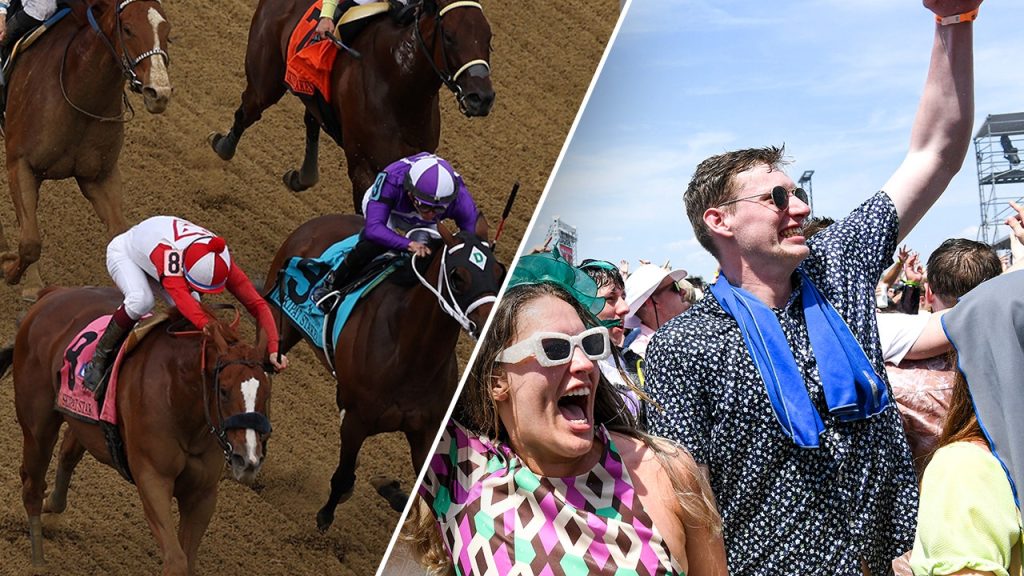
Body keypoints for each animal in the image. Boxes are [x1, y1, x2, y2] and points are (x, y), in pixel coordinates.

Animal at [0, 0, 172, 295]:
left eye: (167, 31)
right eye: (127, 29)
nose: (159, 93)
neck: (80, 98)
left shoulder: (99, 177)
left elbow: (118, 232)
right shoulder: (20, 163)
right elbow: (30, 242)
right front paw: (9, 268)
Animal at [0, 286, 274, 573]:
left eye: (266, 393)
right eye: (223, 390)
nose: (248, 458)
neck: (180, 397)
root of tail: (52, 294)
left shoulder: (203, 494)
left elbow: (187, 559)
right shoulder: (153, 478)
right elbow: (176, 560)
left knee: (68, 452)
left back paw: (52, 506)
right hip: (38, 424)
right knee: (32, 484)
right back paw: (37, 560)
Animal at [209, 0, 493, 211]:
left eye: (488, 38)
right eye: (449, 36)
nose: (482, 98)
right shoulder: (363, 168)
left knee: (311, 119)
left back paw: (303, 175)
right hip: (266, 76)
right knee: (248, 110)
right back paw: (223, 145)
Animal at [264, 215, 503, 528]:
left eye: (499, 273)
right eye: (458, 276)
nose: (490, 322)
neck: (411, 357)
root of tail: (319, 221)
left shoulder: (426, 432)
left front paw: (392, 490)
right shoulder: (355, 420)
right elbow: (343, 476)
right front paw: (326, 515)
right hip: (281, 323)